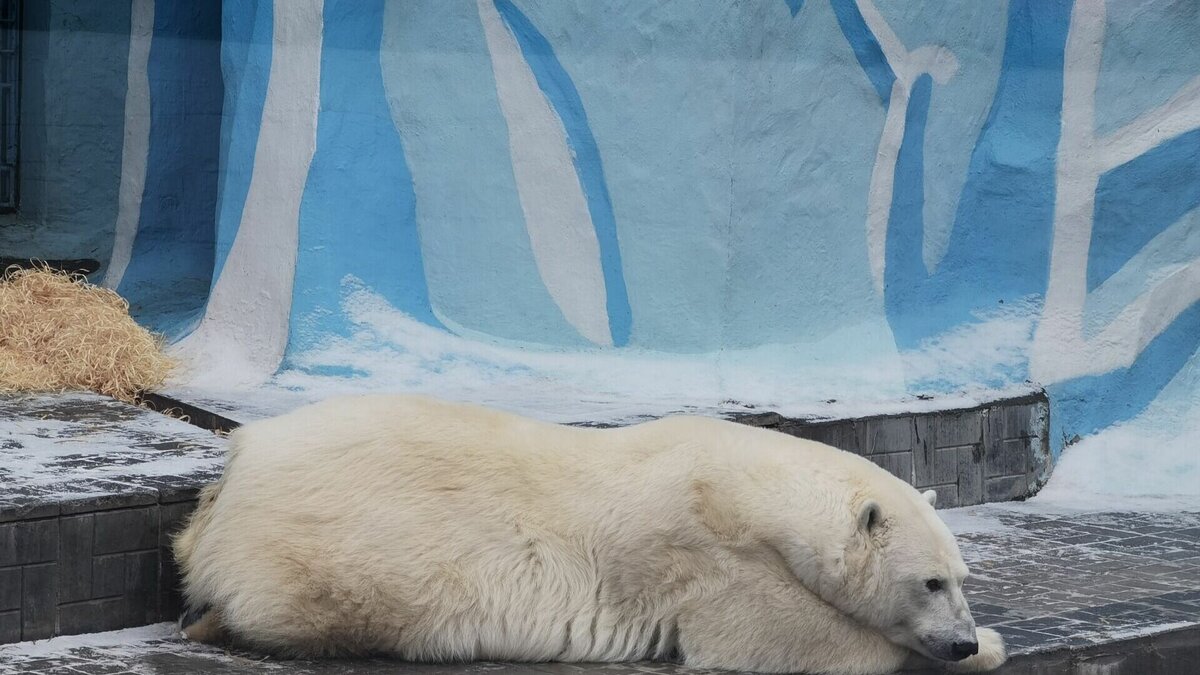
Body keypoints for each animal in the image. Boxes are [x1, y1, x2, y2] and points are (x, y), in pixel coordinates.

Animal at [174, 393, 1008, 672]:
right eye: (930, 580)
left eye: (963, 577)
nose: (961, 638)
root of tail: (243, 454)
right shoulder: (712, 557)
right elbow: (787, 638)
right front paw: (988, 648)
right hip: (340, 553)